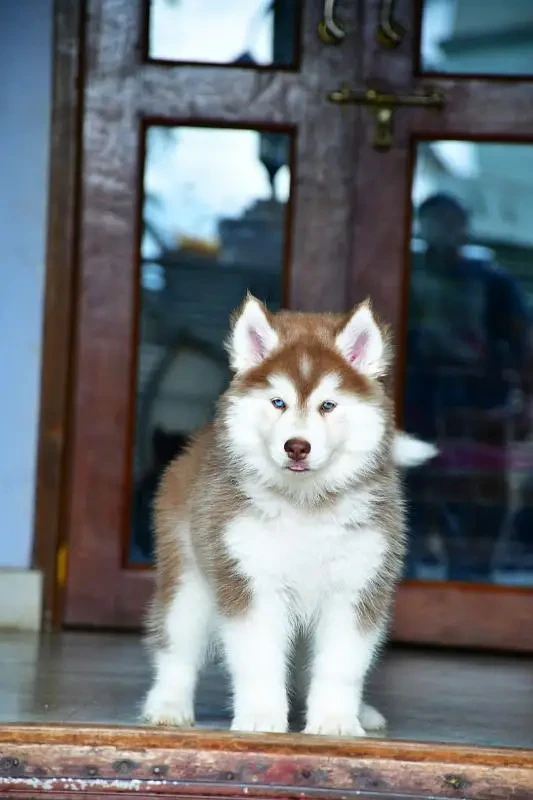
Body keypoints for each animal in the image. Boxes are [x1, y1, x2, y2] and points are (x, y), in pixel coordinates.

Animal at [142, 296, 436, 736]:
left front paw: (335, 721)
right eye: (278, 402)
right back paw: (168, 705)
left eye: (328, 405)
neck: (306, 506)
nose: (296, 446)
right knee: (176, 646)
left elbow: (341, 665)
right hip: (189, 579)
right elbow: (259, 660)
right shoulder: (251, 582)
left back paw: (361, 712)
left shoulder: (355, 588)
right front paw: (262, 718)